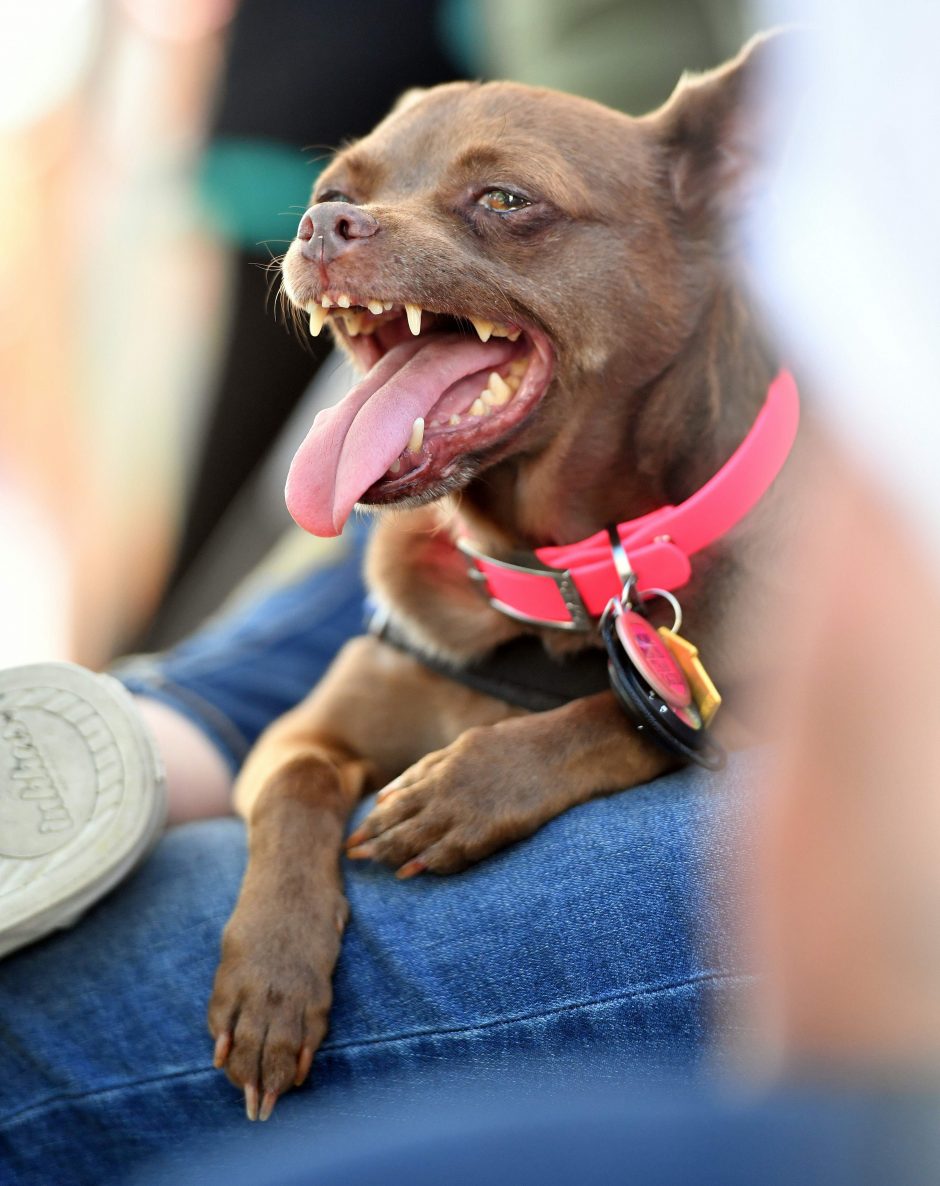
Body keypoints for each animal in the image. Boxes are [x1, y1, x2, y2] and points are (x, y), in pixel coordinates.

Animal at [208, 32, 796, 1114]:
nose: (320, 224)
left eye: (506, 200)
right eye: (330, 189)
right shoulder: (293, 736)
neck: (551, 577)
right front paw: (268, 983)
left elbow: (612, 714)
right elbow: (300, 784)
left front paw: (465, 785)